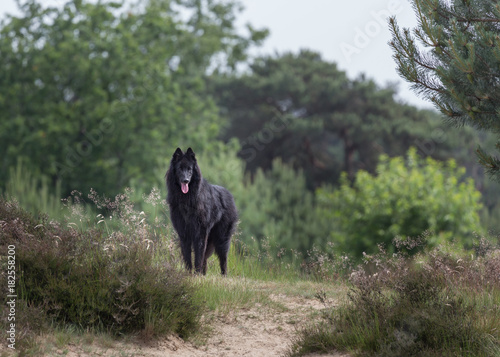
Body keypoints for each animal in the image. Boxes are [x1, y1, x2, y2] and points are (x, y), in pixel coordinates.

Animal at [166, 146, 238, 274]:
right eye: (180, 169)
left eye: (189, 169)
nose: (185, 180)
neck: (186, 200)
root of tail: (229, 194)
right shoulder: (183, 233)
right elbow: (187, 255)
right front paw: (189, 273)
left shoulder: (199, 232)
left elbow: (198, 255)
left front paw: (196, 273)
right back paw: (203, 274)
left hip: (222, 238)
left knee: (223, 259)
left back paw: (223, 275)